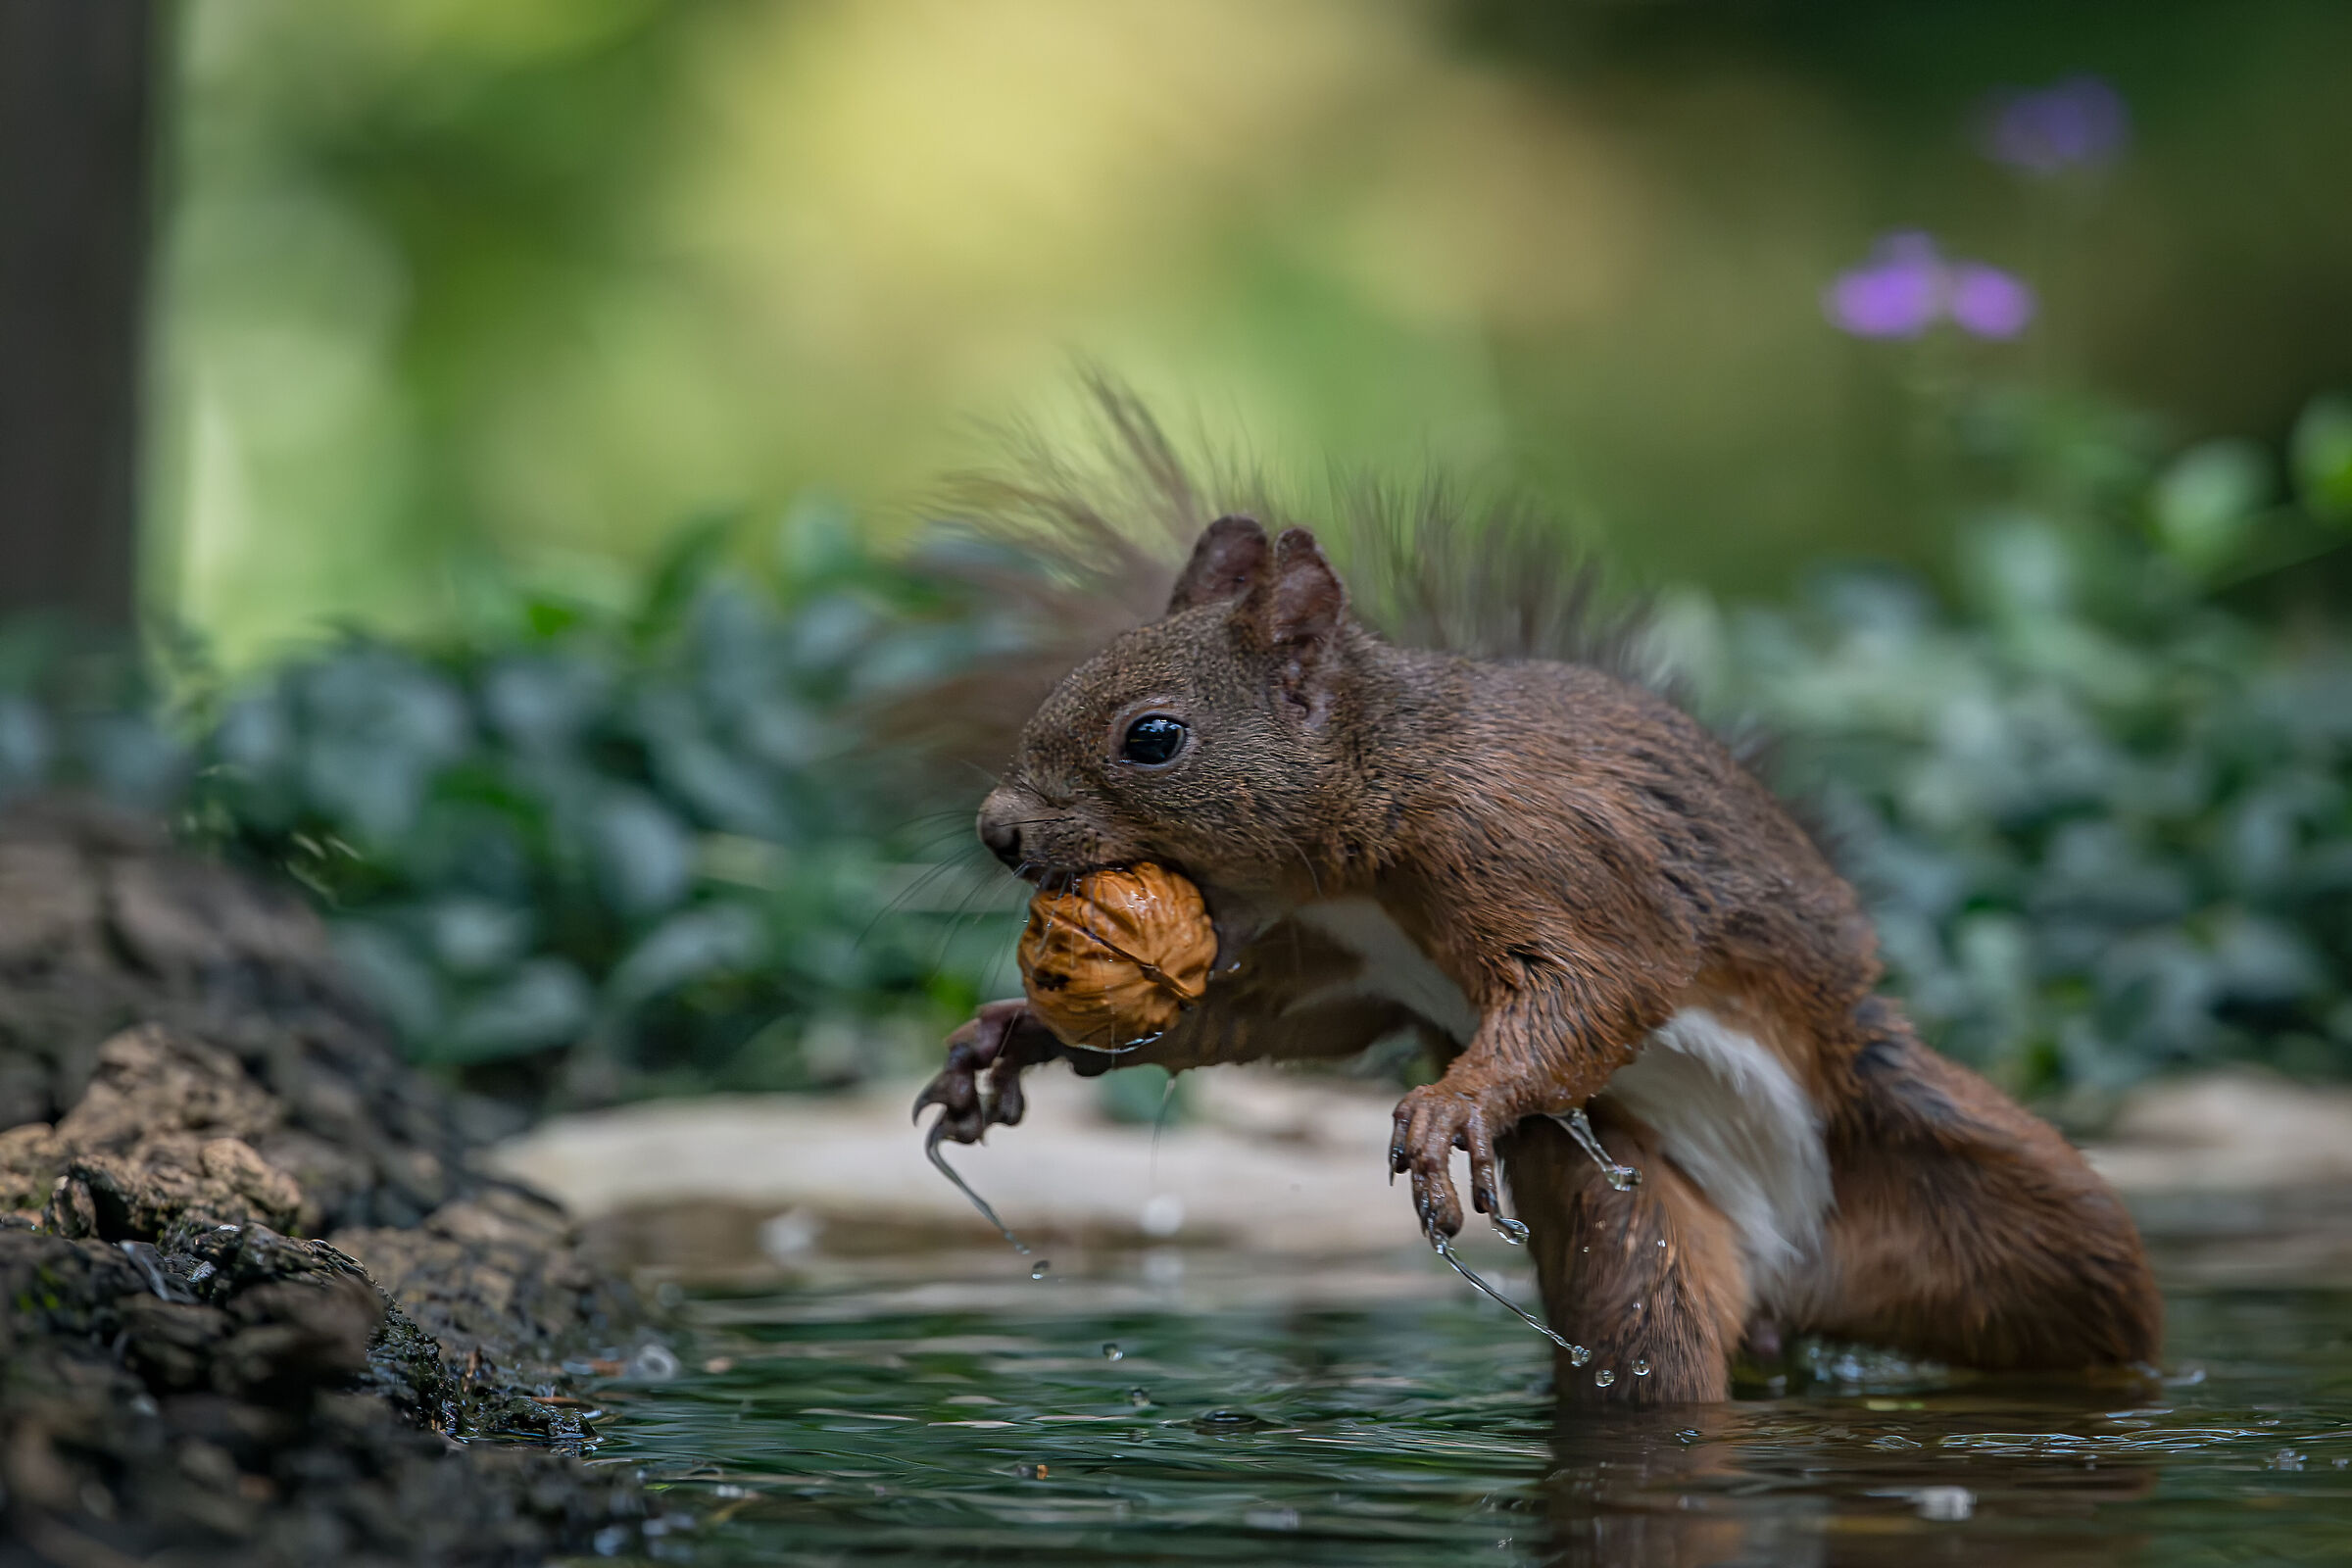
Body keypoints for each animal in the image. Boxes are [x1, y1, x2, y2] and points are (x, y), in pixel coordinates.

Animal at [909, 387, 2161, 1406]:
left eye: (1154, 737)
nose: (998, 832)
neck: (1370, 831)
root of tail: (1797, 1278)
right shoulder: (1335, 964)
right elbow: (1260, 1018)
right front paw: (1007, 1038)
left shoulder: (1539, 849)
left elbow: (1605, 976)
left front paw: (1453, 1109)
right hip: (1639, 1242)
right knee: (1661, 1356)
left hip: (2032, 1221)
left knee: (2099, 1309)